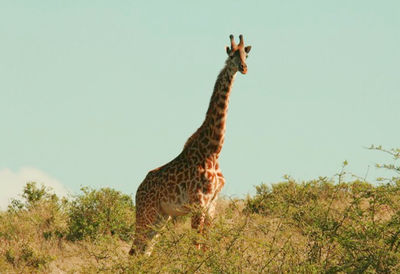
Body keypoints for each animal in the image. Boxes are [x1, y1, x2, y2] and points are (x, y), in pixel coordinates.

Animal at [130, 34, 252, 256]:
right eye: (231, 55)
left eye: (246, 55)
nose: (244, 68)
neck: (213, 149)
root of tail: (138, 190)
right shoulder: (198, 202)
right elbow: (196, 246)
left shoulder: (211, 205)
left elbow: (206, 245)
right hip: (147, 213)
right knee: (134, 251)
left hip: (161, 216)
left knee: (145, 251)